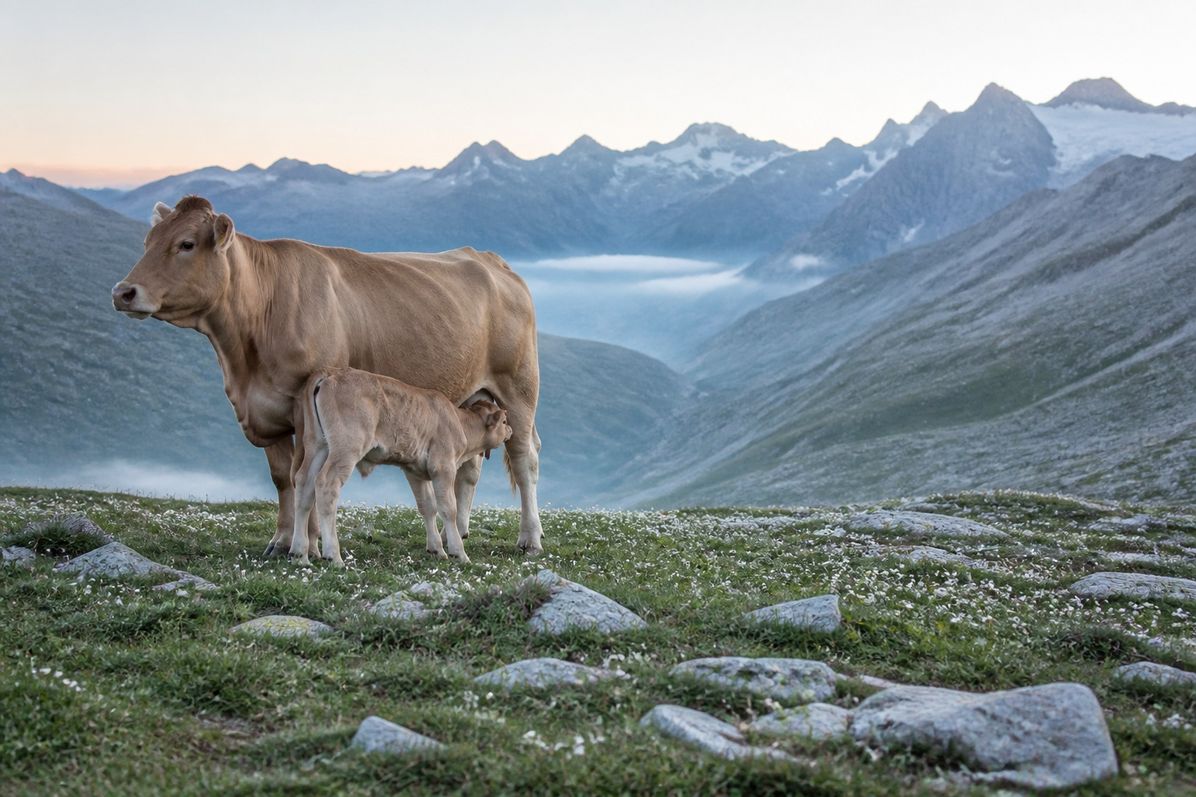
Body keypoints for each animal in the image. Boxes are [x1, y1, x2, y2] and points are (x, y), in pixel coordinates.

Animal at [292, 369, 513, 567]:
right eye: (504, 420)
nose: (510, 430)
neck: (460, 424)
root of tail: (331, 373)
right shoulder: (443, 466)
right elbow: (448, 508)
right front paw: (458, 553)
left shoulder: (414, 470)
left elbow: (428, 507)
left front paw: (436, 549)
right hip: (347, 447)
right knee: (326, 484)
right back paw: (333, 556)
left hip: (317, 445)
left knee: (304, 484)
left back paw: (300, 554)